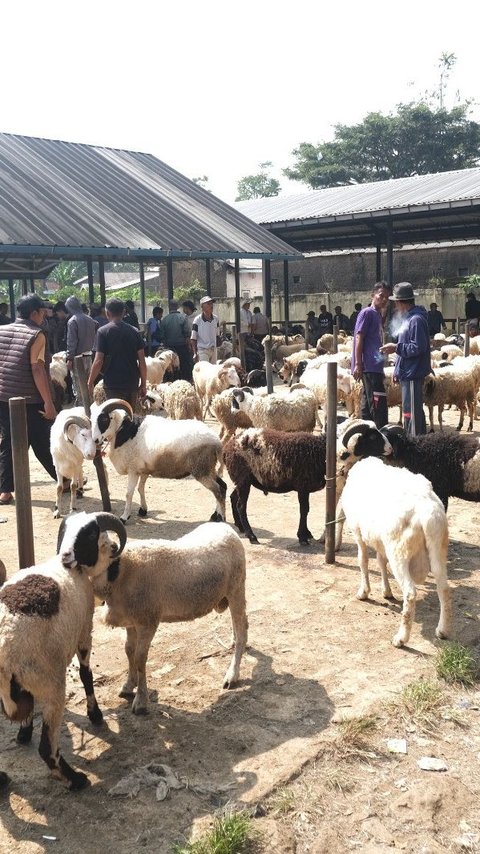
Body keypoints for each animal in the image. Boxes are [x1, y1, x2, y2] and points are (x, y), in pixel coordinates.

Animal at [0, 512, 126, 792]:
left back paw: (2, 780)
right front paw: (95, 715)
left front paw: (24, 731)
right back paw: (76, 780)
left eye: (89, 532)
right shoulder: (84, 633)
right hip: (50, 683)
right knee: (47, 749)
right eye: (66, 530)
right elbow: (86, 675)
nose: (67, 555)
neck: (69, 569)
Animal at [90, 520, 248, 716]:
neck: (120, 570)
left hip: (237, 587)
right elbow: (129, 651)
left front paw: (141, 701)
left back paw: (232, 675)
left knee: (242, 629)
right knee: (238, 624)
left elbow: (140, 658)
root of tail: (226, 528)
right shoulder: (131, 621)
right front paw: (128, 685)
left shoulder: (148, 621)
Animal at [92, 400, 227, 524]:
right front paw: (143, 510)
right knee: (223, 486)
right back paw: (215, 515)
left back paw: (220, 518)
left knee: (218, 490)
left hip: (201, 470)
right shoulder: (144, 470)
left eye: (104, 419)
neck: (124, 431)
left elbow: (129, 493)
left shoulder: (133, 470)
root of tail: (217, 442)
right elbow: (140, 488)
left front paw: (124, 517)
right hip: (209, 468)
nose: (95, 440)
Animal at [342, 462, 450, 648]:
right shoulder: (380, 541)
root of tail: (426, 511)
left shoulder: (358, 533)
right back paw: (442, 631)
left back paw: (401, 638)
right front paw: (386, 591)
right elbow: (380, 561)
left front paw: (364, 592)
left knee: (410, 593)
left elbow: (363, 561)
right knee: (444, 588)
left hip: (399, 551)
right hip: (438, 547)